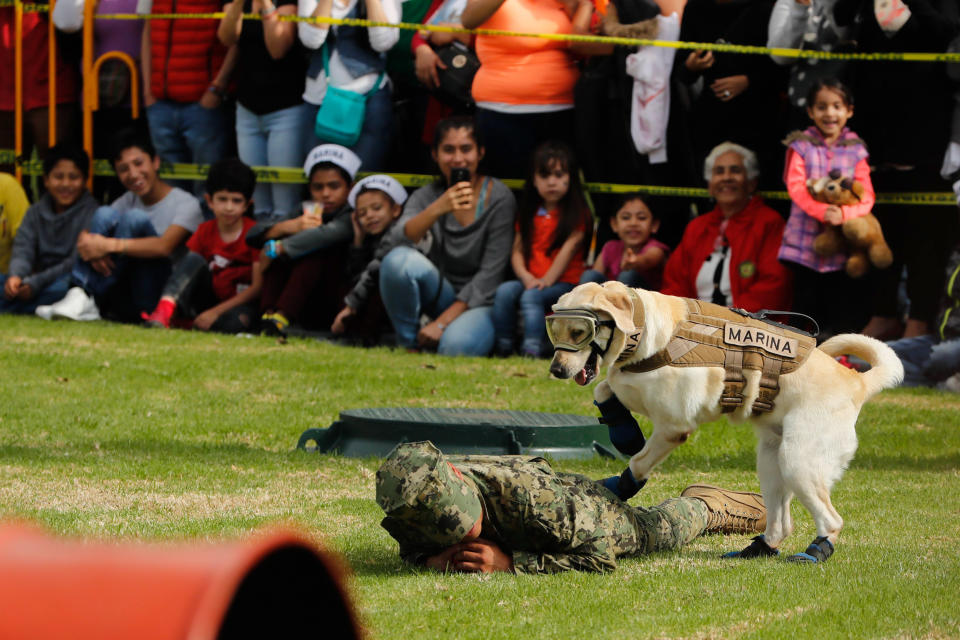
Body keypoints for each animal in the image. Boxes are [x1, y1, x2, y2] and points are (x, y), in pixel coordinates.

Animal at [548, 282, 900, 564]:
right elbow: (604, 389)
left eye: (579, 332)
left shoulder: (673, 426)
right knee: (782, 523)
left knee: (832, 519)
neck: (646, 331)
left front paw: (618, 485)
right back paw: (758, 549)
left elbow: (637, 463)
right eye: (556, 332)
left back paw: (815, 551)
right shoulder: (624, 383)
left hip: (798, 462)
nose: (556, 370)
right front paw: (623, 430)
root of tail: (857, 382)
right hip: (772, 461)